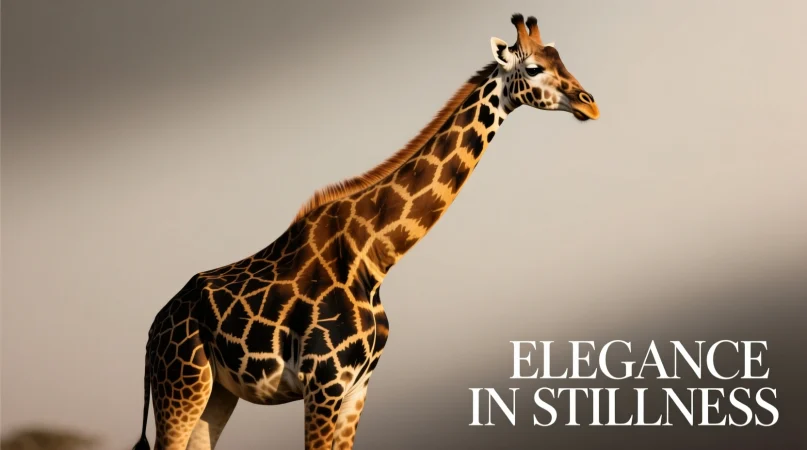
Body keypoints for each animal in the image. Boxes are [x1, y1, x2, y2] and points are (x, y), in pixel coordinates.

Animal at [131, 13, 599, 450]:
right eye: (534, 68)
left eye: (561, 58)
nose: (590, 104)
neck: (376, 257)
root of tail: (154, 330)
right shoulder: (324, 383)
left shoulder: (358, 386)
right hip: (181, 384)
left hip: (217, 392)